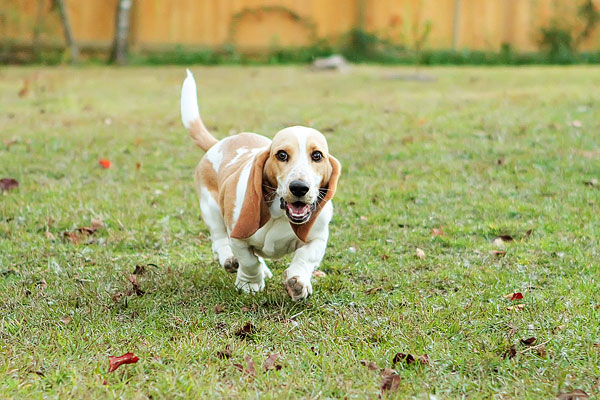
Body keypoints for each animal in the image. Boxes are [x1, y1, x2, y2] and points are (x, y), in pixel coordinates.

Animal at [178, 69, 340, 300]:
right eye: (282, 155)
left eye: (317, 155)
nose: (299, 187)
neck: (280, 215)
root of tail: (218, 143)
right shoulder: (238, 237)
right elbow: (248, 261)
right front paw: (250, 284)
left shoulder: (317, 239)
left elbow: (305, 258)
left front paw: (298, 282)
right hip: (210, 209)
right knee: (219, 240)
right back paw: (230, 260)